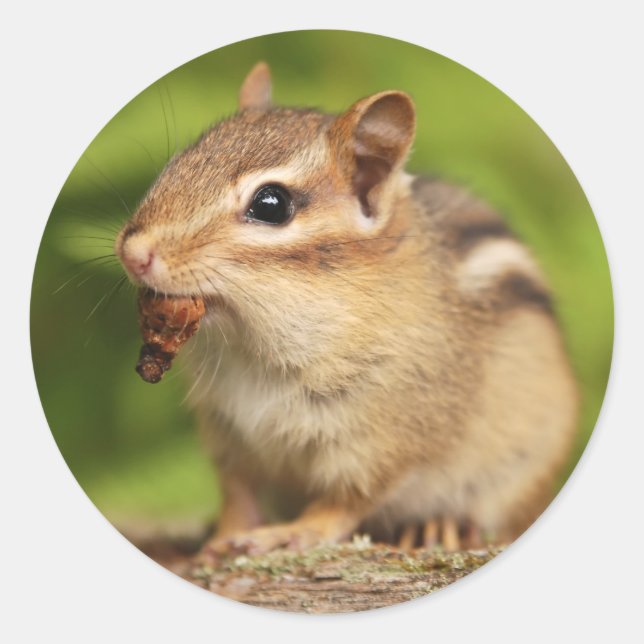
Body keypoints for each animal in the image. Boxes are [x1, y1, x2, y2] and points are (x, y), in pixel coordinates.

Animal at [116, 62, 578, 555]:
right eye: (180, 161)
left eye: (271, 204)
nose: (134, 253)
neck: (255, 346)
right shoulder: (229, 434)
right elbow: (238, 493)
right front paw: (221, 538)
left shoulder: (388, 438)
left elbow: (345, 501)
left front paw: (292, 532)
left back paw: (440, 525)